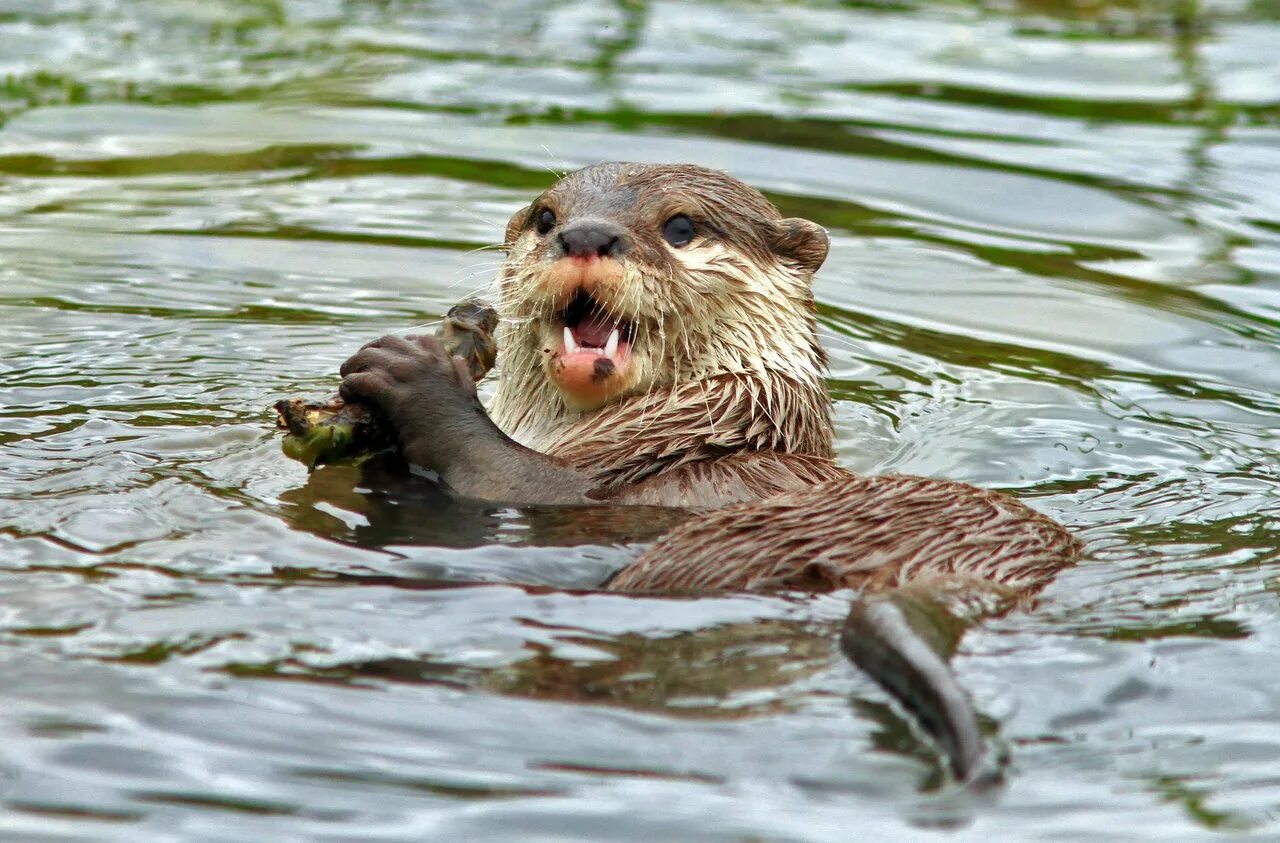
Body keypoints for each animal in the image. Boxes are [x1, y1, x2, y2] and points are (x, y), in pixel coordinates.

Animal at [337, 161, 1080, 782]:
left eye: (681, 226)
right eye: (546, 216)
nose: (584, 234)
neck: (704, 429)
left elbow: (516, 475)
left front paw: (416, 373)